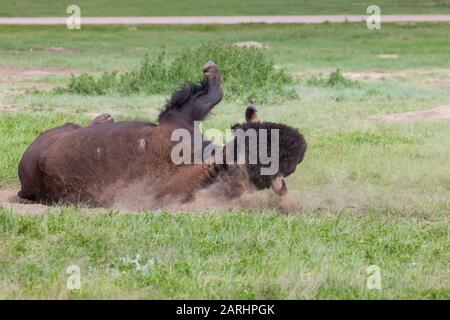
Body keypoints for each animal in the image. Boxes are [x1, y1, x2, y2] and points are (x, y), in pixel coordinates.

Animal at [16, 62, 306, 209]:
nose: (303, 145)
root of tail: (26, 185)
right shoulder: (180, 120)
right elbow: (210, 96)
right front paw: (211, 70)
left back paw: (104, 118)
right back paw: (105, 118)